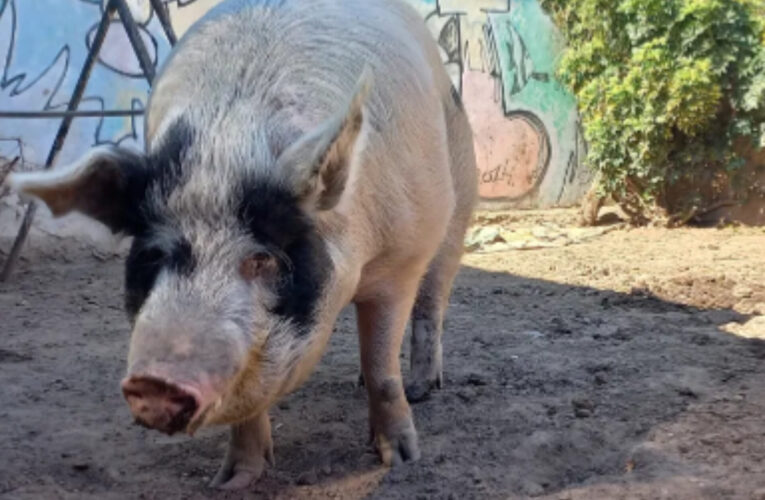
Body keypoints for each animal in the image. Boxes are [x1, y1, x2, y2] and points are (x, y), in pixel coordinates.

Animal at [5, 0, 474, 490]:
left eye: (261, 258)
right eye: (154, 254)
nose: (156, 384)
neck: (229, 145)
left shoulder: (401, 257)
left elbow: (383, 365)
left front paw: (399, 460)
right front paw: (231, 482)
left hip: (460, 195)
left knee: (433, 299)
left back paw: (423, 388)